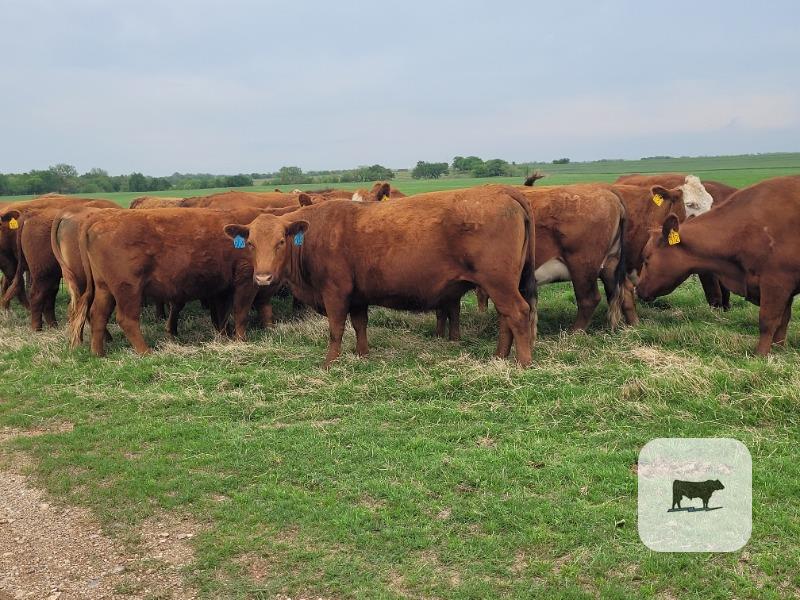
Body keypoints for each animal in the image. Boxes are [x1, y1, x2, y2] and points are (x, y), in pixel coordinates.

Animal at [70, 207, 277, 356]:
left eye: (279, 241)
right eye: (251, 243)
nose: (266, 275)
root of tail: (98, 219)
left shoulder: (222, 287)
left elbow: (222, 315)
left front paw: (224, 337)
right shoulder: (246, 281)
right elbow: (240, 313)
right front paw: (241, 340)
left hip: (104, 288)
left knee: (98, 314)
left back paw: (98, 353)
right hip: (127, 288)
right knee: (126, 319)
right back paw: (145, 352)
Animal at [223, 185, 537, 367]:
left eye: (281, 242)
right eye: (251, 243)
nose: (263, 278)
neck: (316, 233)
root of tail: (503, 193)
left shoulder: (335, 293)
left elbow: (336, 329)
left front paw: (329, 362)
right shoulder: (357, 295)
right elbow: (360, 325)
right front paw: (362, 355)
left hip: (499, 283)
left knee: (518, 313)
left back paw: (522, 363)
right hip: (503, 284)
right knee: (506, 318)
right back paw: (499, 356)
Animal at [636, 176, 800, 356]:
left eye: (646, 258)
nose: (638, 288)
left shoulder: (776, 284)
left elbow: (768, 322)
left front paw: (761, 355)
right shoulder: (786, 291)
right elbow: (783, 322)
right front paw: (779, 350)